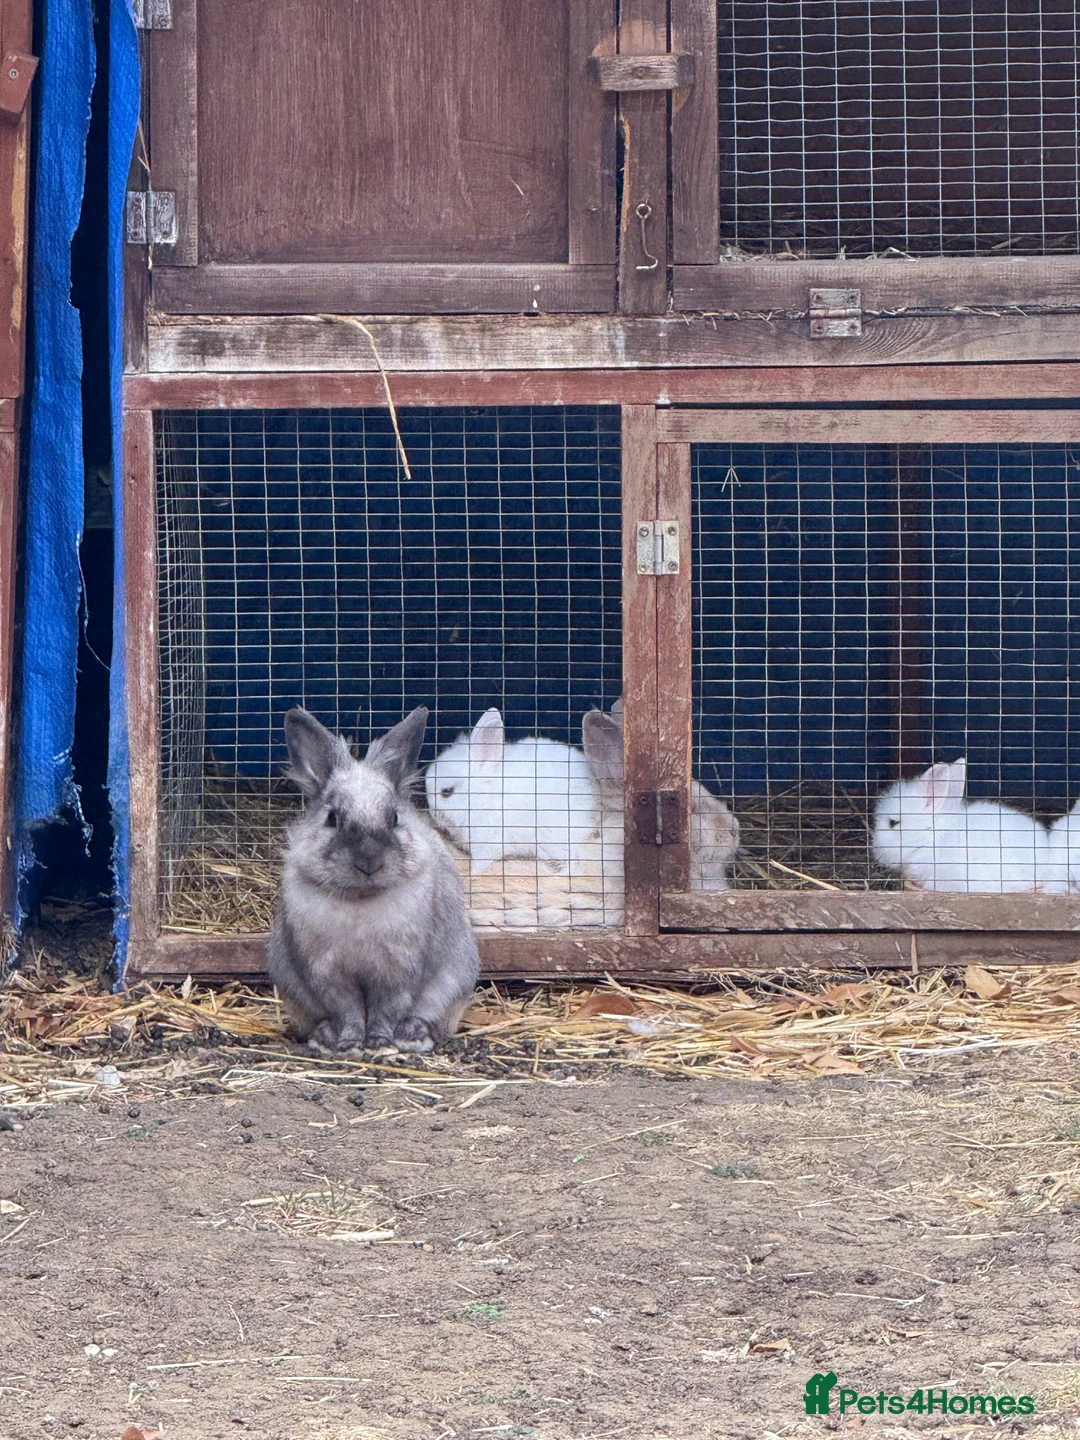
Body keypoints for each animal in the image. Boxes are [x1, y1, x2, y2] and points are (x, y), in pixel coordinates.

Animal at [268, 706, 479, 1055]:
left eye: (394, 818)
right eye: (332, 819)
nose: (369, 863)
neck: (362, 898)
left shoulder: (397, 972)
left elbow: (385, 1010)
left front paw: (379, 1043)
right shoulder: (330, 975)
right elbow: (349, 1011)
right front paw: (349, 1044)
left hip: (455, 978)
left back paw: (411, 1034)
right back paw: (325, 1036)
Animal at [423, 707, 601, 872]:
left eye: (447, 791)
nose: (433, 813)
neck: (483, 795)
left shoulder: (488, 842)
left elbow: (481, 862)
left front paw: (473, 873)